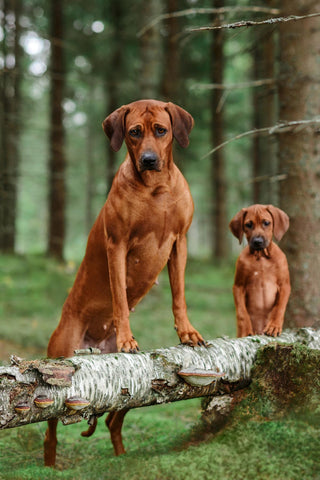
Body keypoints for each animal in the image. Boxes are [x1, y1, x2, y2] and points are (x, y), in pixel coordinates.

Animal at [43, 100, 205, 464]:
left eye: (161, 130)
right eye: (134, 132)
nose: (149, 160)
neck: (156, 189)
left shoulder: (180, 243)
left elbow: (180, 295)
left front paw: (187, 332)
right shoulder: (117, 245)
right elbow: (119, 295)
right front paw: (127, 339)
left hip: (132, 386)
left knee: (114, 420)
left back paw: (121, 455)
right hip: (62, 361)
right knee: (49, 431)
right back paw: (50, 464)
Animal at [230, 205, 290, 338]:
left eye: (266, 223)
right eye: (248, 224)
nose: (257, 241)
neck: (261, 256)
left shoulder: (284, 285)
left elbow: (279, 307)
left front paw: (274, 325)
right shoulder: (238, 286)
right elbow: (242, 312)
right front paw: (245, 328)